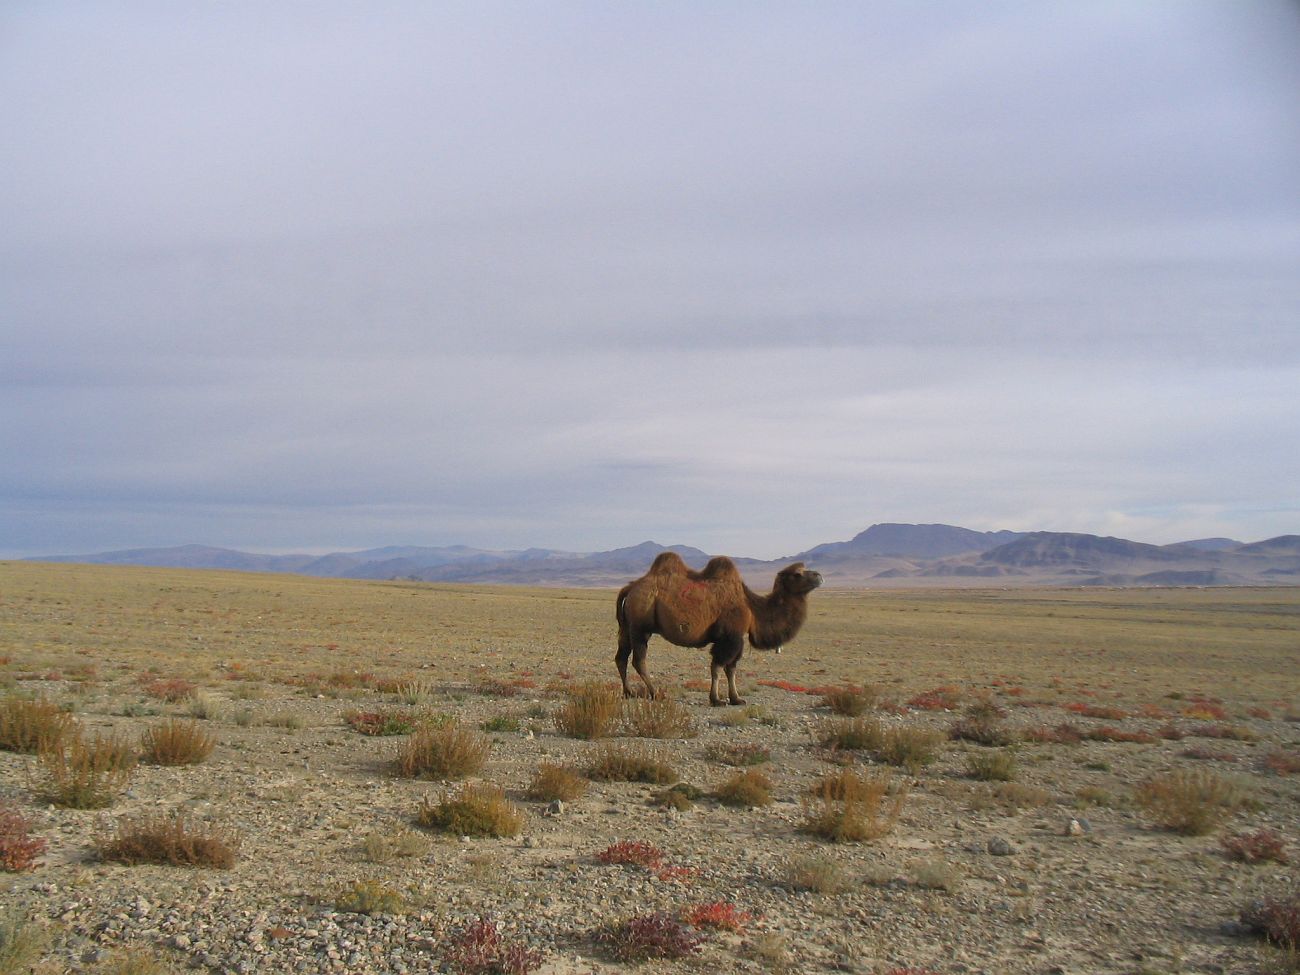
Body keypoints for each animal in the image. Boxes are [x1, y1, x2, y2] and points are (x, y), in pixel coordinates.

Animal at [616, 553, 821, 707]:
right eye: (797, 574)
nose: (819, 576)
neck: (751, 606)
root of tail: (630, 587)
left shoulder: (735, 639)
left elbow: (731, 668)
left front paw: (736, 698)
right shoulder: (730, 637)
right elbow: (718, 666)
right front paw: (717, 699)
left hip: (627, 627)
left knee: (621, 657)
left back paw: (629, 692)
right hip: (641, 626)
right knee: (638, 660)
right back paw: (656, 693)